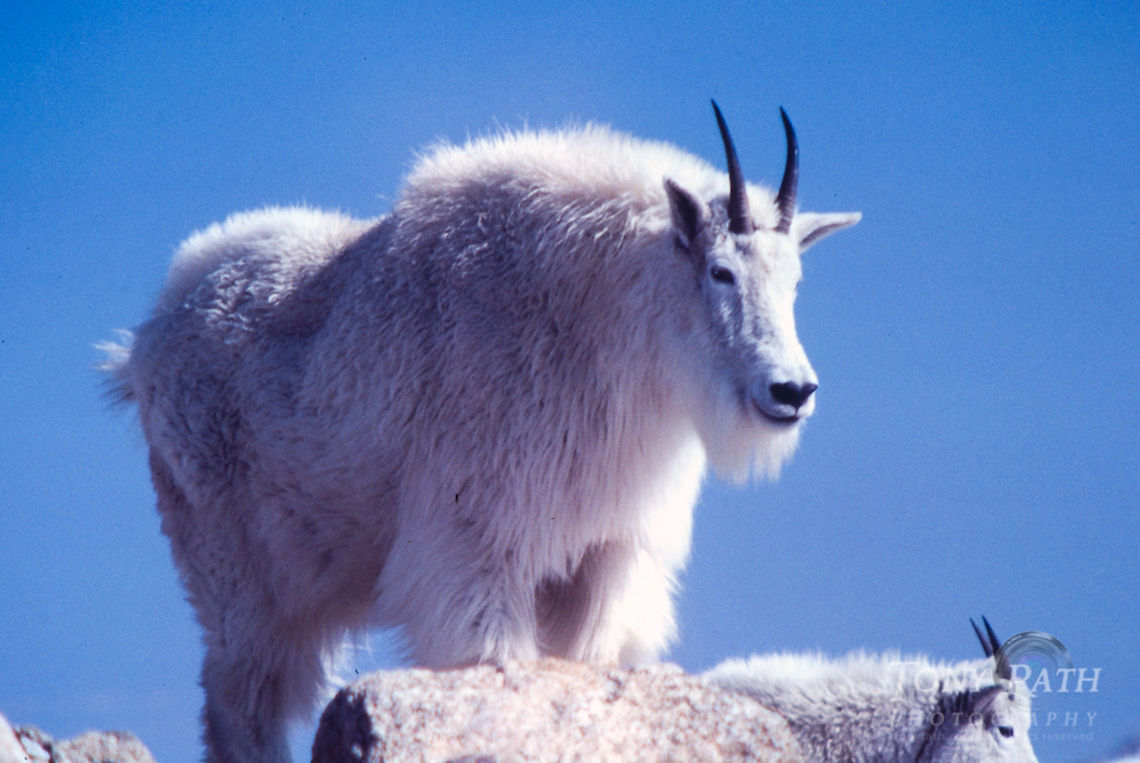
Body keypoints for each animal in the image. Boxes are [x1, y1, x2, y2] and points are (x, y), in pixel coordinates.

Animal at [102, 102, 859, 762]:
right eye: (721, 270)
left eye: (795, 281)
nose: (791, 391)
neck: (597, 326)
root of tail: (141, 344)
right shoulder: (477, 539)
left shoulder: (605, 553)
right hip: (231, 566)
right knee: (240, 699)